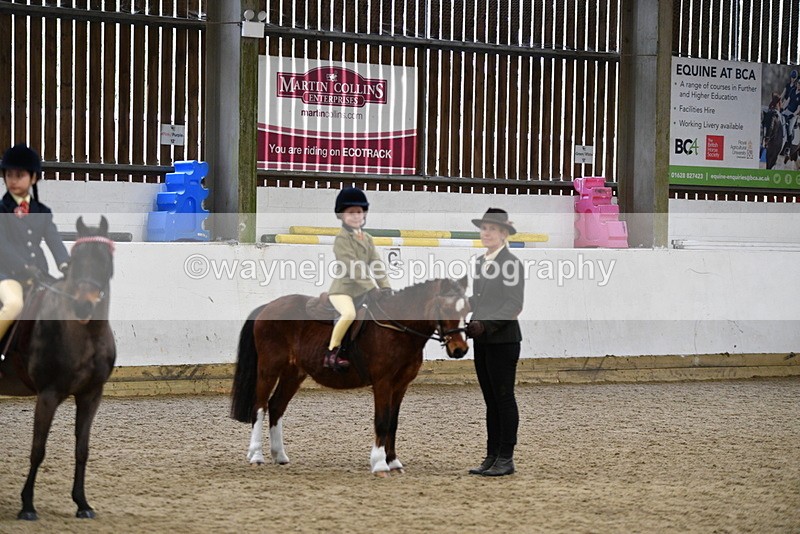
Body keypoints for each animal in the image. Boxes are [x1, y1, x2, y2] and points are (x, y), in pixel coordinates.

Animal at [0, 216, 116, 520]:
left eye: (103, 260)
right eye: (76, 261)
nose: (84, 305)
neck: (85, 334)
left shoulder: (90, 395)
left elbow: (82, 449)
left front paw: (82, 503)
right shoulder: (48, 395)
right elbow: (38, 449)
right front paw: (27, 506)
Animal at [230, 276, 470, 476]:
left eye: (466, 309)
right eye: (444, 307)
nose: (460, 349)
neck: (397, 329)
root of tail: (267, 307)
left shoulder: (401, 385)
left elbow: (393, 422)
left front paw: (393, 462)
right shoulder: (383, 383)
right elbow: (382, 421)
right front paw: (379, 464)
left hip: (293, 374)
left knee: (276, 406)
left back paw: (279, 455)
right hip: (269, 369)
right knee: (260, 407)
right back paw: (256, 455)